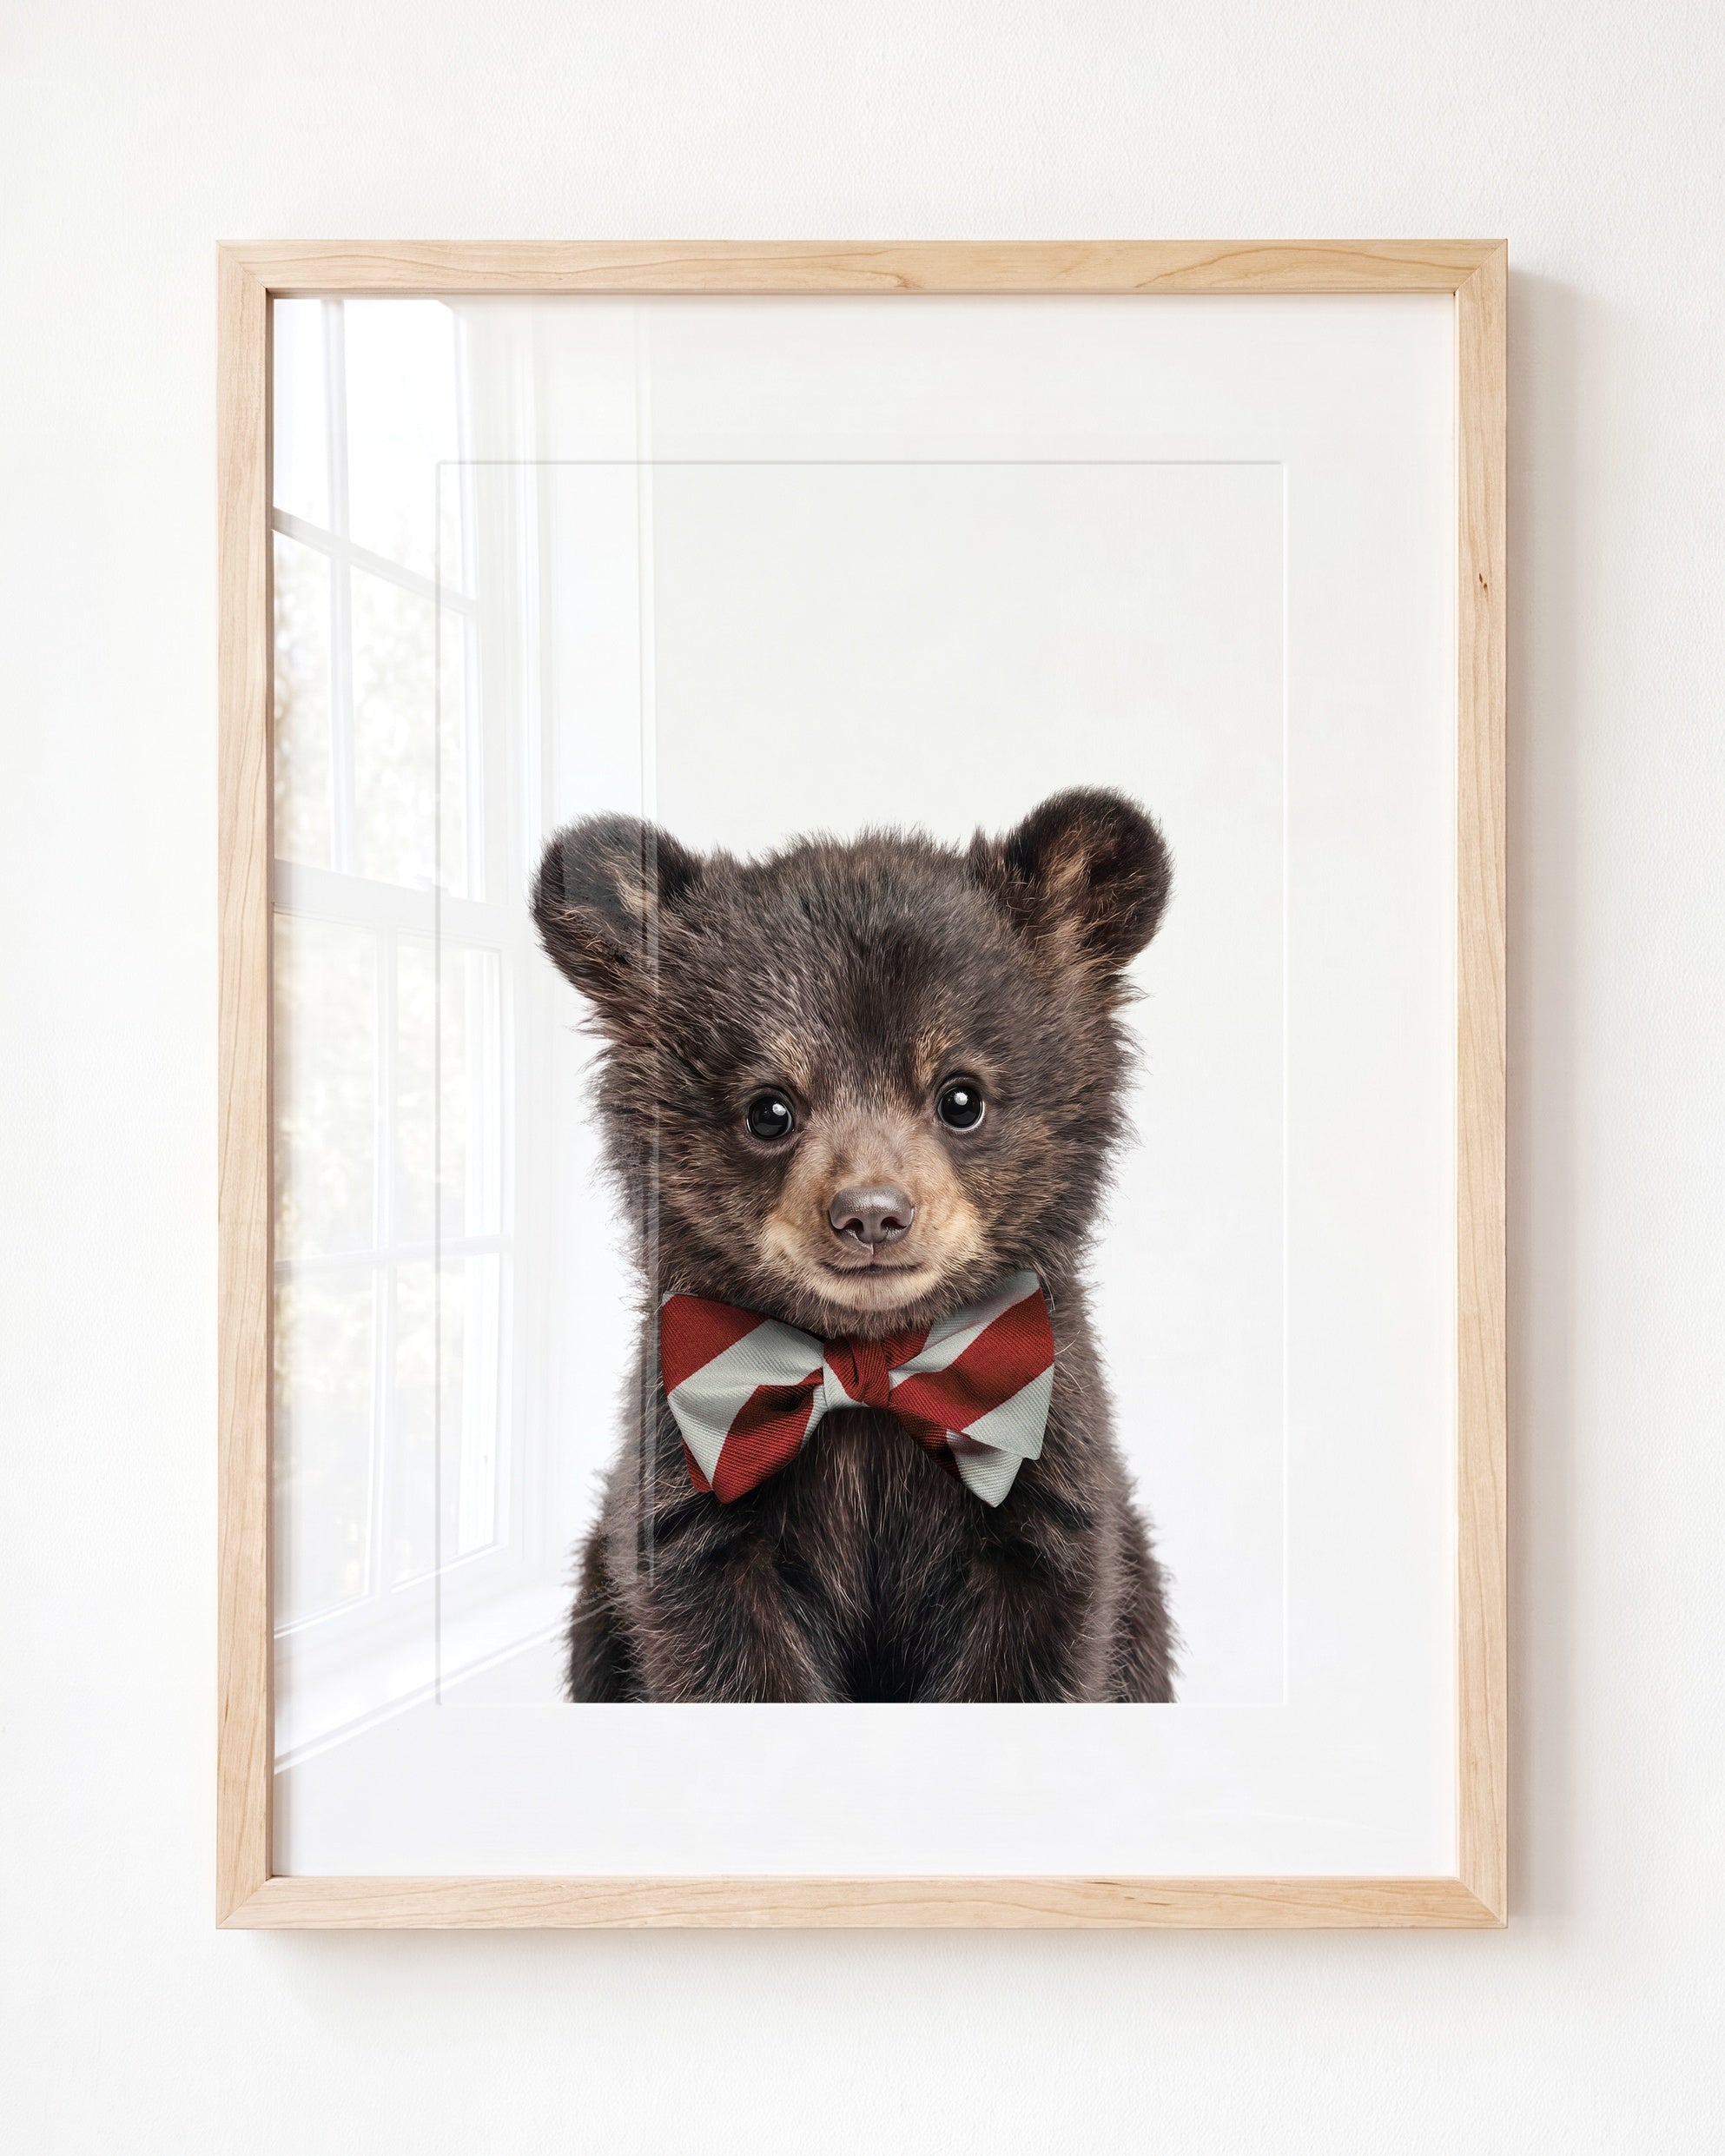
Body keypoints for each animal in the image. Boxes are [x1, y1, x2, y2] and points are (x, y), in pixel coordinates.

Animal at [531, 787, 1179, 1703]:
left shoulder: (1048, 1485)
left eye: (962, 1097)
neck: (870, 1369)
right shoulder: (689, 1498)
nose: (871, 1214)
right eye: (769, 1109)